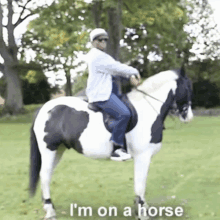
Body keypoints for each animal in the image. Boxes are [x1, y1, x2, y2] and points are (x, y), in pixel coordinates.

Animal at [28, 68, 192, 219]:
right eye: (188, 87)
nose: (188, 117)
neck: (147, 110)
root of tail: (43, 109)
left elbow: (140, 185)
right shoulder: (142, 156)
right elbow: (140, 184)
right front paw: (142, 213)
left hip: (58, 150)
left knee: (47, 175)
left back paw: (48, 207)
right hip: (49, 149)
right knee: (44, 175)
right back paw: (50, 211)